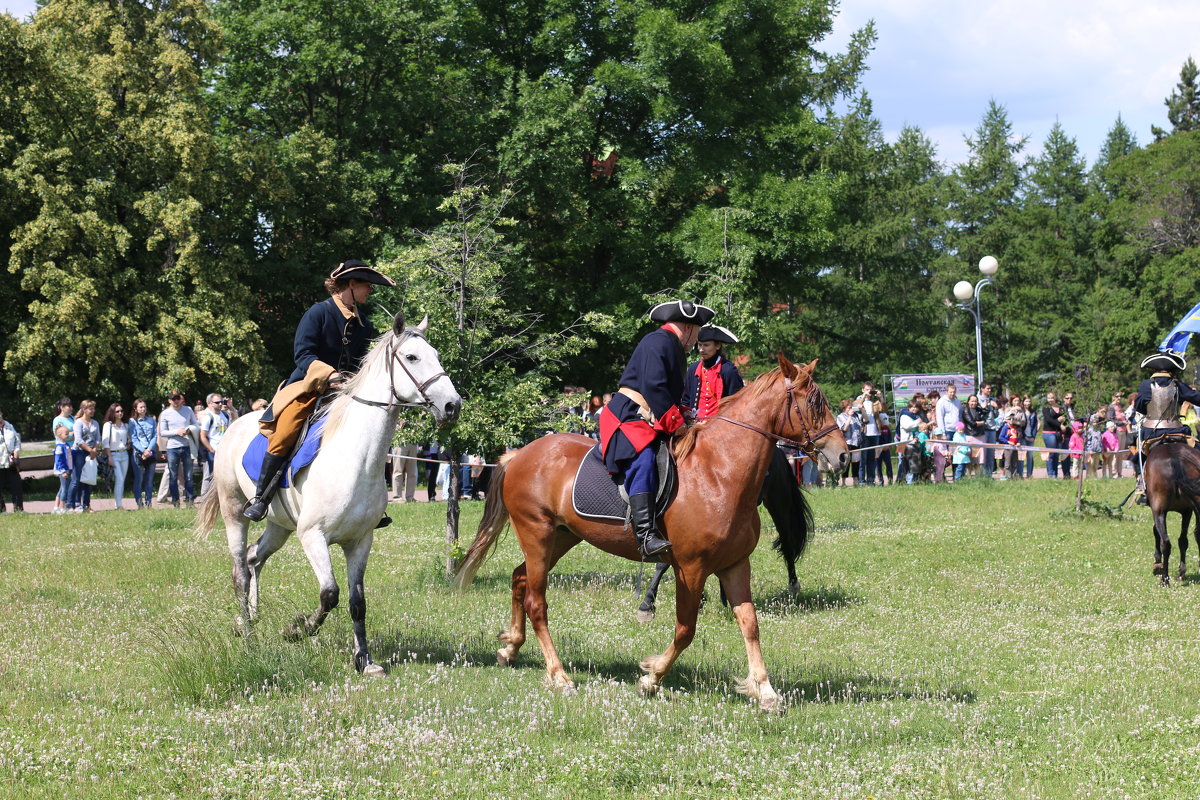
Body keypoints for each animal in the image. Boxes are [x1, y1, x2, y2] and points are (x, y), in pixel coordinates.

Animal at [196, 311, 458, 676]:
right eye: (411, 357)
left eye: (435, 354)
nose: (452, 405)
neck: (357, 459)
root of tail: (234, 425)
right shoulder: (313, 536)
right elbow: (330, 594)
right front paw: (297, 629)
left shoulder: (359, 541)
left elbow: (357, 602)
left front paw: (365, 661)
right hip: (235, 513)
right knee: (240, 572)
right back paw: (247, 635)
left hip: (279, 526)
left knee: (252, 559)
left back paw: (250, 618)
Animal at [453, 357, 849, 714]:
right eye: (814, 403)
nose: (843, 457)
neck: (720, 471)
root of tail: (519, 454)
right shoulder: (690, 568)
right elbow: (685, 629)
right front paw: (651, 678)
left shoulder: (735, 564)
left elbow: (750, 624)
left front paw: (764, 690)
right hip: (537, 532)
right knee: (537, 601)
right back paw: (559, 675)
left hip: (561, 537)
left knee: (520, 579)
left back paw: (510, 648)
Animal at [1137, 441, 1200, 585]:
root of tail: (1175, 456)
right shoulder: (1187, 511)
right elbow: (1183, 541)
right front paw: (1181, 572)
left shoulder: (1158, 511)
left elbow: (1156, 532)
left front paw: (1157, 564)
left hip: (1158, 510)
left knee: (1165, 542)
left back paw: (1165, 579)